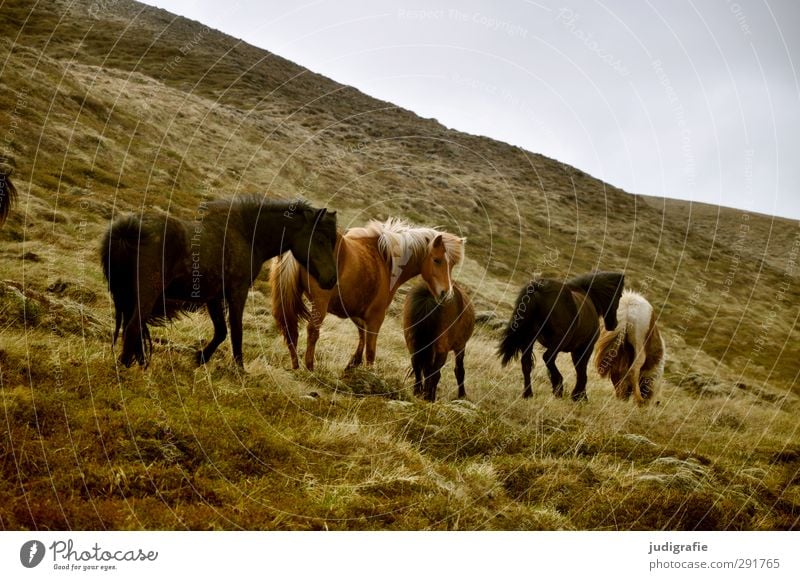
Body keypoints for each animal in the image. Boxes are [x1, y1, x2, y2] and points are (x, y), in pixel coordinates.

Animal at [101, 195, 338, 368]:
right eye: (320, 239)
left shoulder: (213, 297)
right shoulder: (237, 293)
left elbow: (222, 331)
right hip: (148, 292)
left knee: (135, 327)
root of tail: (128, 230)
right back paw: (125, 368)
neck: (247, 234)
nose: (332, 279)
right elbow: (236, 331)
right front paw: (239, 370)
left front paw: (200, 358)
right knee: (133, 326)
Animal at [272, 218, 466, 372]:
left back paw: (296, 364)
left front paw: (352, 364)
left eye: (451, 264)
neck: (386, 260)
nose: (445, 293)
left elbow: (362, 338)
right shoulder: (376, 317)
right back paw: (309, 367)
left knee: (289, 327)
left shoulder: (357, 313)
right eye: (437, 260)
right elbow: (371, 350)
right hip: (320, 302)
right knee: (312, 330)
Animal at [500, 270, 624, 402]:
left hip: (529, 339)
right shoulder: (584, 349)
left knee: (526, 364)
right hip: (558, 341)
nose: (614, 324)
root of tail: (538, 290)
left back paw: (528, 394)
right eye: (619, 296)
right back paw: (558, 387)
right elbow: (582, 372)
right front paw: (579, 396)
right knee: (548, 358)